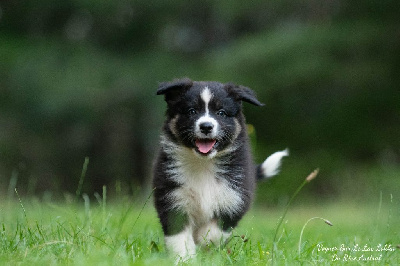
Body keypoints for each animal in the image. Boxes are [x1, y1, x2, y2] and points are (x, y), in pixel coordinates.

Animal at [152, 78, 288, 258]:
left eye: (221, 113)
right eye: (192, 111)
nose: (206, 126)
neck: (204, 164)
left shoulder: (234, 199)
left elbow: (214, 232)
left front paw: (203, 242)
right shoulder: (172, 197)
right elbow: (179, 237)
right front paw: (184, 258)